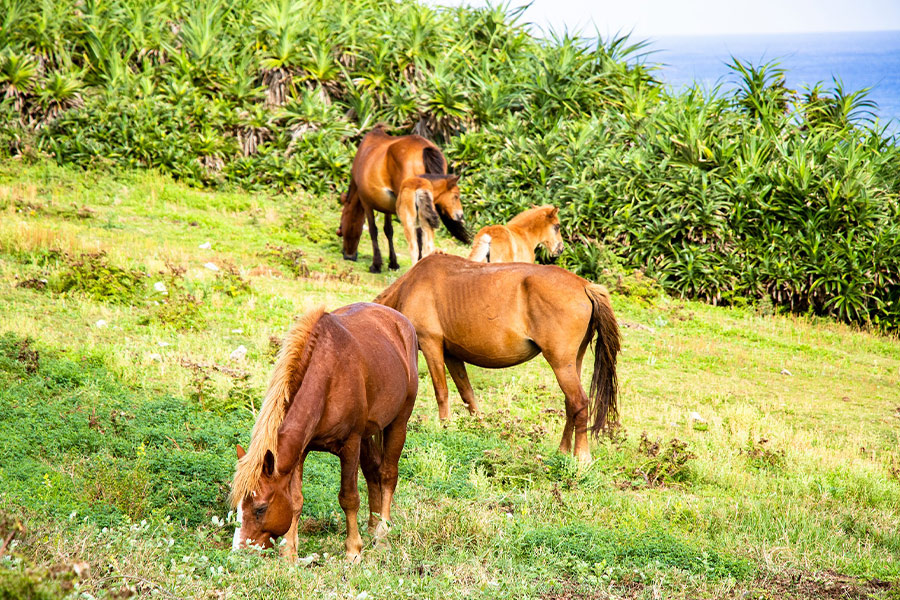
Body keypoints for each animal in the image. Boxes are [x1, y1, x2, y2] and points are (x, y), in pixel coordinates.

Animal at [230, 303, 418, 563]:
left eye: (260, 508)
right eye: (237, 507)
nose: (239, 552)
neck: (328, 376)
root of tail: (400, 321)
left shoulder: (350, 444)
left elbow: (349, 498)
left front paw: (353, 551)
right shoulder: (300, 451)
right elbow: (295, 501)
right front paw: (289, 553)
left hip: (398, 423)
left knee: (388, 475)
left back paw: (382, 537)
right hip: (368, 434)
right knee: (372, 473)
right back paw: (373, 527)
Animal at [337, 124, 471, 273]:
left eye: (341, 226)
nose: (348, 255)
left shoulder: (366, 202)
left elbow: (373, 230)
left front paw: (376, 265)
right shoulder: (387, 206)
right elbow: (388, 230)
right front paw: (393, 263)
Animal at [375, 253, 620, 463]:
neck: (410, 287)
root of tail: (585, 286)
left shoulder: (431, 345)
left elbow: (441, 392)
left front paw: (445, 427)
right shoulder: (452, 355)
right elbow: (468, 395)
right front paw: (479, 427)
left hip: (561, 364)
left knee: (579, 401)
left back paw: (581, 456)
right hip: (572, 362)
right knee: (572, 404)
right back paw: (562, 450)